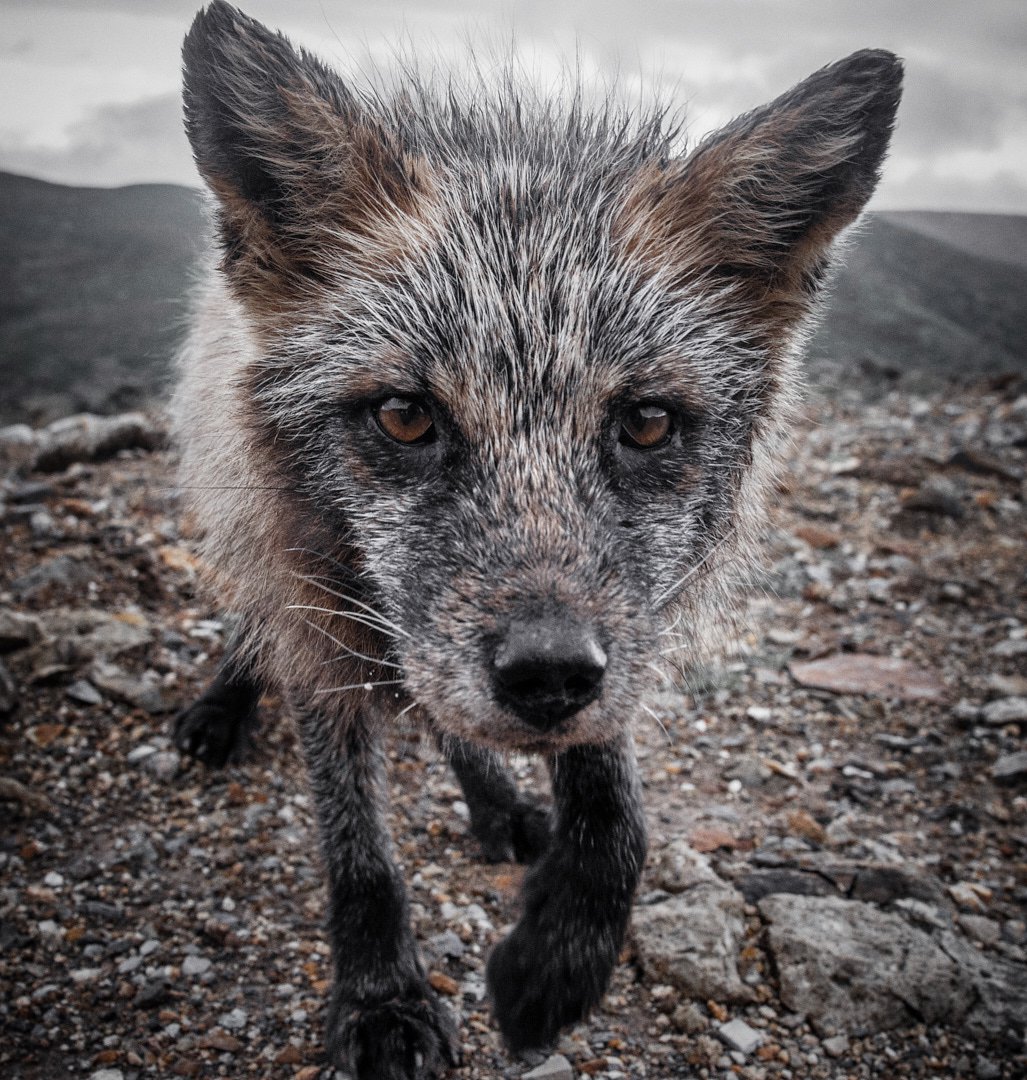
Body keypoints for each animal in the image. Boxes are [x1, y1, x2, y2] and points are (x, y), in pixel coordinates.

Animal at [172, 4, 902, 1075]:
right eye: (404, 417)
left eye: (646, 422)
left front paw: (554, 964)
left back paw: (498, 803)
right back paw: (222, 707)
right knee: (256, 632)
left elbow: (620, 818)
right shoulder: (317, 615)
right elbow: (357, 847)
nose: (548, 675)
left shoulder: (620, 638)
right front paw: (381, 997)